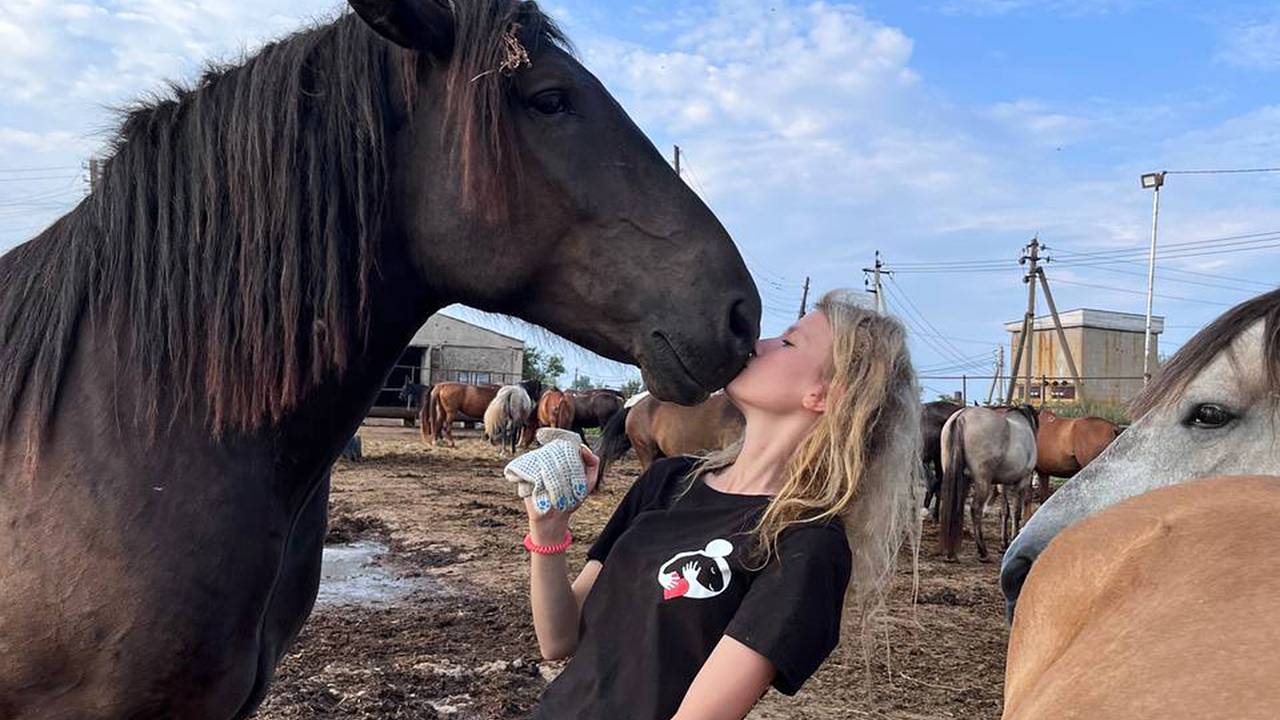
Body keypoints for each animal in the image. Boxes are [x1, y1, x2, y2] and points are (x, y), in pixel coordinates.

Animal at [942, 404, 1039, 561]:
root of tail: (962, 416)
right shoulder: (1022, 482)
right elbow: (1016, 511)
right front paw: (1012, 539)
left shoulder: (1003, 484)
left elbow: (1005, 511)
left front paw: (1004, 544)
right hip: (982, 481)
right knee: (975, 509)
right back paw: (983, 551)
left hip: (957, 478)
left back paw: (951, 552)